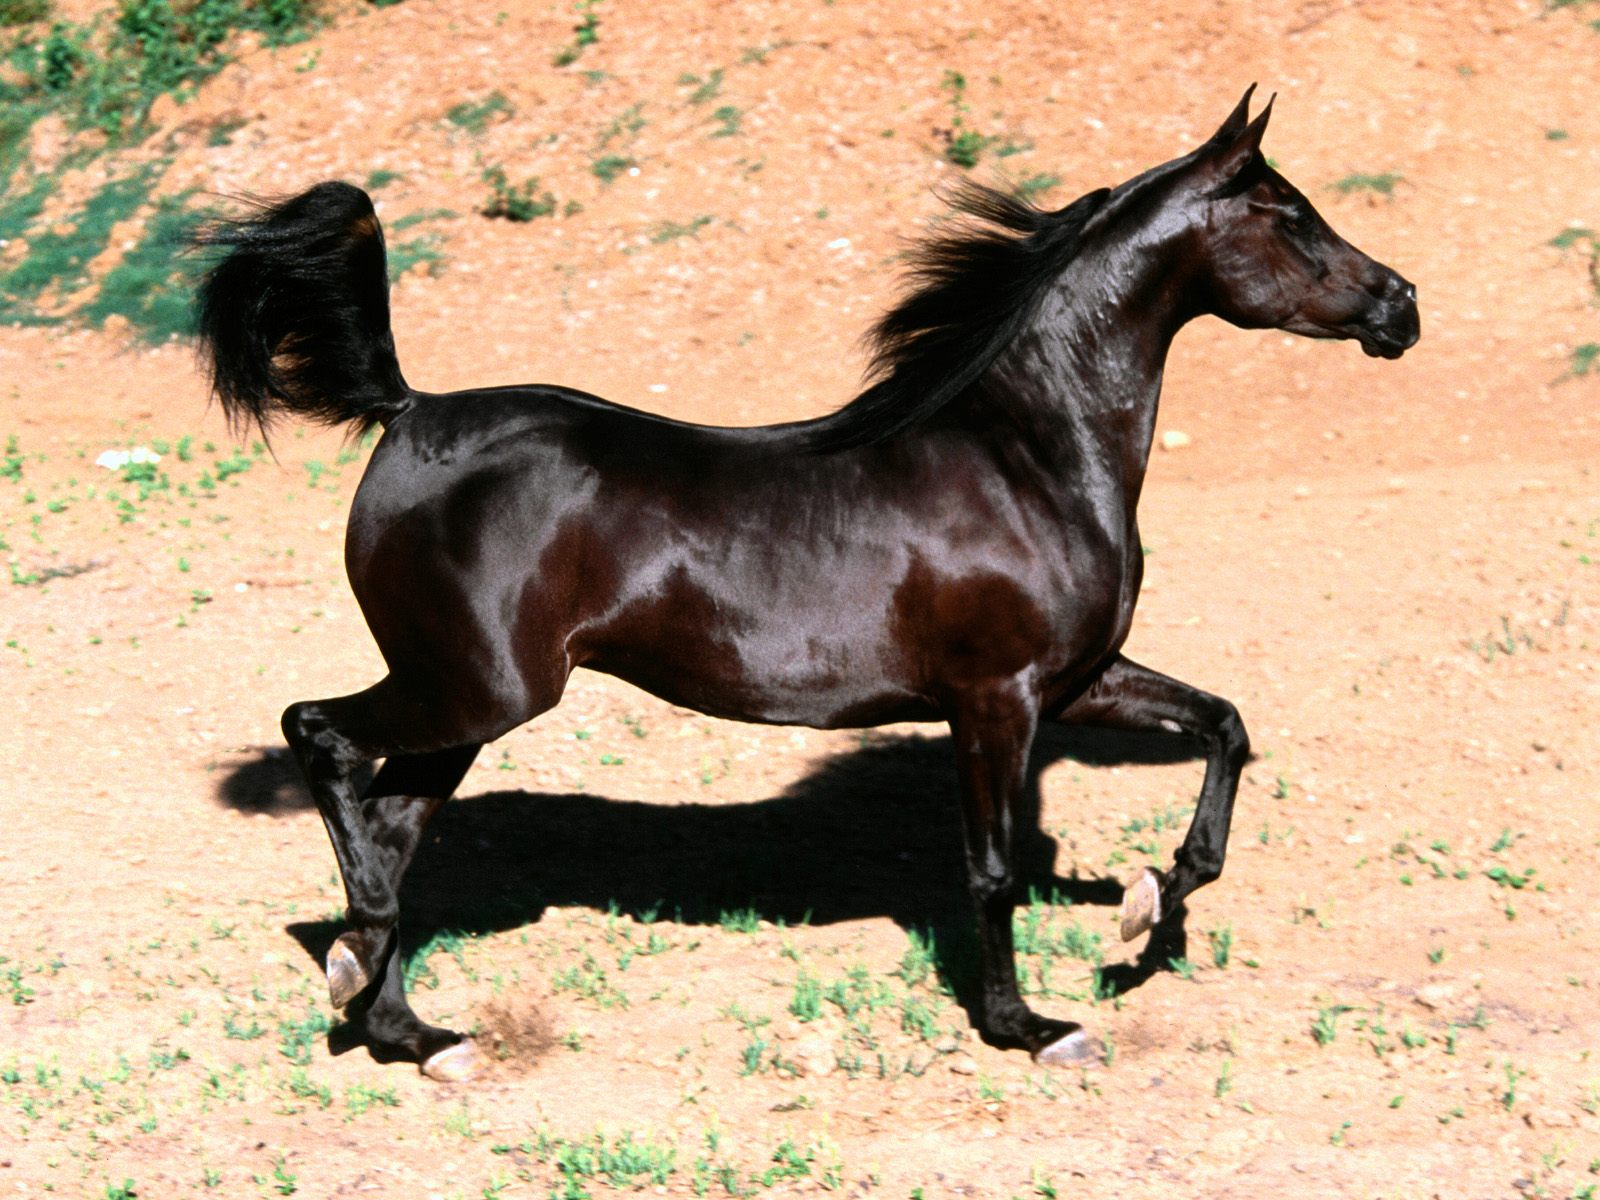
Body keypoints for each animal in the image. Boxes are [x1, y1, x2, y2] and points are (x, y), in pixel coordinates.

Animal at [194, 87, 1418, 1081]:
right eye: (1290, 214)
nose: (1401, 305)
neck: (1025, 455)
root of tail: (408, 412)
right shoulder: (997, 699)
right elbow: (991, 871)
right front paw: (1030, 1027)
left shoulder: (1077, 679)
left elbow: (1223, 726)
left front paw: (1147, 909)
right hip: (475, 687)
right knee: (320, 738)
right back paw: (357, 960)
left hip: (468, 706)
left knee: (393, 824)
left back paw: (410, 1028)